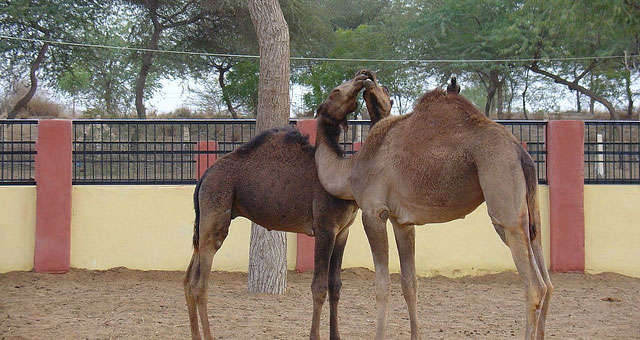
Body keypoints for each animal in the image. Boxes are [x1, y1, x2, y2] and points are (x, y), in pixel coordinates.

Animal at [181, 71, 390, 340]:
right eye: (335, 91)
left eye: (385, 92)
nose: (365, 76)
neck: (342, 175)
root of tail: (204, 177)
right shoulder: (324, 228)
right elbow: (319, 287)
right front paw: (314, 336)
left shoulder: (343, 231)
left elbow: (336, 286)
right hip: (215, 215)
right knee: (200, 282)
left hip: (203, 223)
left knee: (188, 279)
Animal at [312, 71, 552, 340]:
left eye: (334, 91)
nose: (364, 76)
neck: (351, 170)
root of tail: (521, 152)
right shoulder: (401, 221)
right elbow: (410, 283)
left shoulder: (374, 212)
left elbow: (382, 285)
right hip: (530, 212)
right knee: (547, 281)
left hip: (503, 200)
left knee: (535, 286)